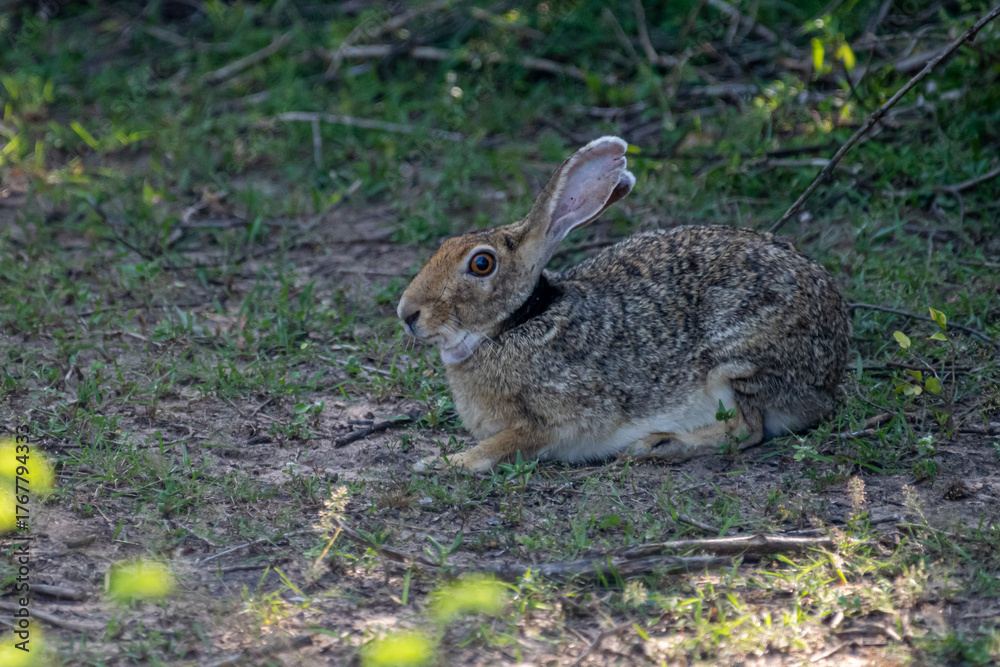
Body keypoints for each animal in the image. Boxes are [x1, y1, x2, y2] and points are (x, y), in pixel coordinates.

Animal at [397, 136, 849, 473]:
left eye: (481, 264)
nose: (407, 313)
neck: (518, 321)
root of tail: (831, 370)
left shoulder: (554, 421)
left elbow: (500, 446)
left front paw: (442, 463)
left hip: (738, 358)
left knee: (747, 429)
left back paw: (659, 444)